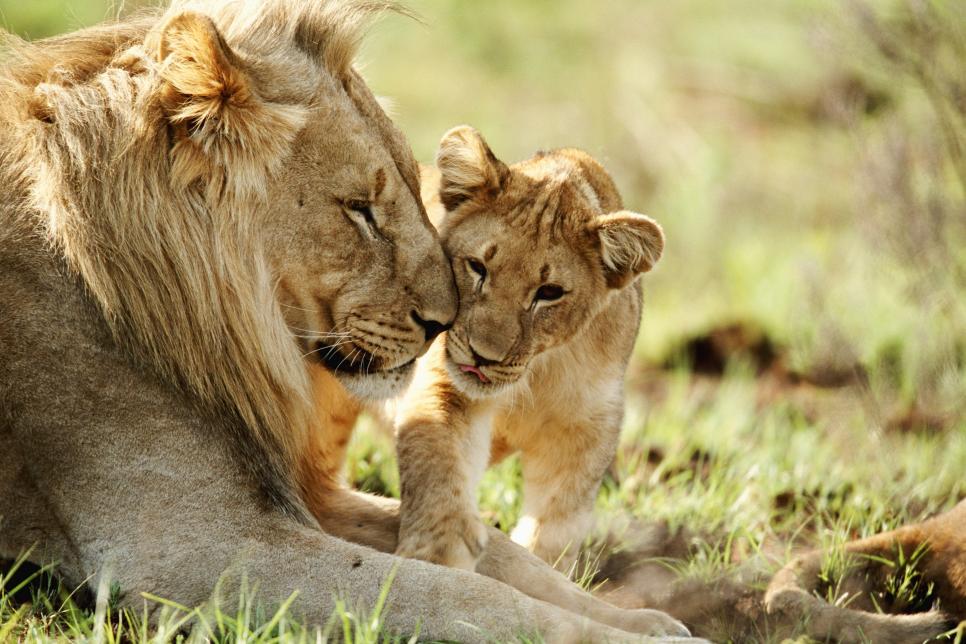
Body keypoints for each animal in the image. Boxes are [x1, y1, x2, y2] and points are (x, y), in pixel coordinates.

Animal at [382, 126, 664, 576]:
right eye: (478, 267)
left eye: (549, 293)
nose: (482, 356)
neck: (537, 371)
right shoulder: (447, 382)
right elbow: (435, 451)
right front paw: (439, 548)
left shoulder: (588, 426)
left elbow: (559, 518)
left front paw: (542, 567)